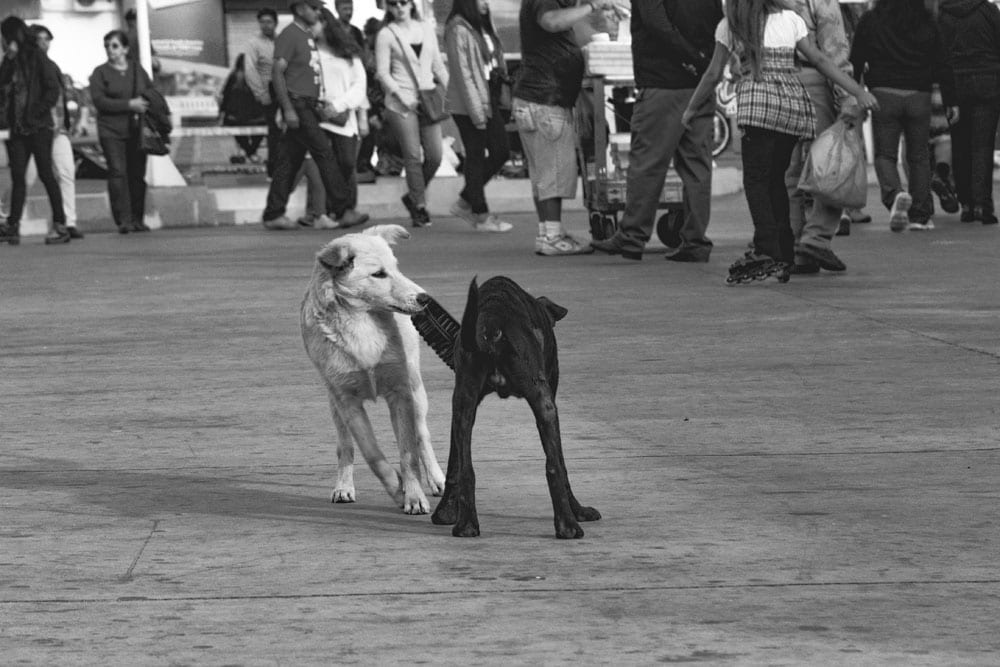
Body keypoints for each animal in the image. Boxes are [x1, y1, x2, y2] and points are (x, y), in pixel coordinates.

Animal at [300, 227, 446, 516]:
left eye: (396, 268)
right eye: (378, 274)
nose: (425, 298)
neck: (361, 323)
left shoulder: (401, 393)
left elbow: (408, 452)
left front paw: (414, 495)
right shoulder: (347, 401)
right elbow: (372, 454)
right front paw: (398, 491)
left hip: (417, 390)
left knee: (422, 435)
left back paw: (436, 479)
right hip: (334, 404)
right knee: (344, 446)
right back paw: (344, 486)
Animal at [426, 276, 596, 536]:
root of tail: (492, 323)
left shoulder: (461, 402)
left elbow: (455, 462)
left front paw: (445, 512)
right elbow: (561, 464)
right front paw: (579, 511)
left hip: (464, 400)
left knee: (466, 468)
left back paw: (466, 525)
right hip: (544, 401)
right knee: (554, 466)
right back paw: (568, 525)